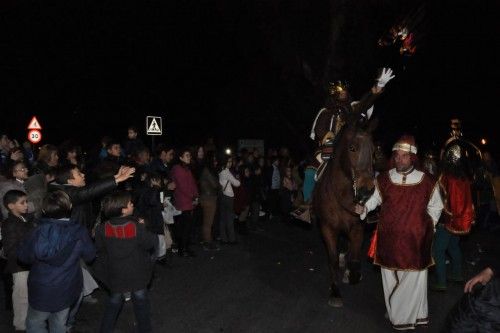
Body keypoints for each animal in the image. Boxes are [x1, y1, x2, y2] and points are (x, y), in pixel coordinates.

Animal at [312, 118, 376, 306]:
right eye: (352, 148)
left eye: (373, 151)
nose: (366, 190)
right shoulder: (327, 228)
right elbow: (332, 259)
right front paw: (335, 291)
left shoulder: (357, 227)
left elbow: (354, 259)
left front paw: (352, 274)